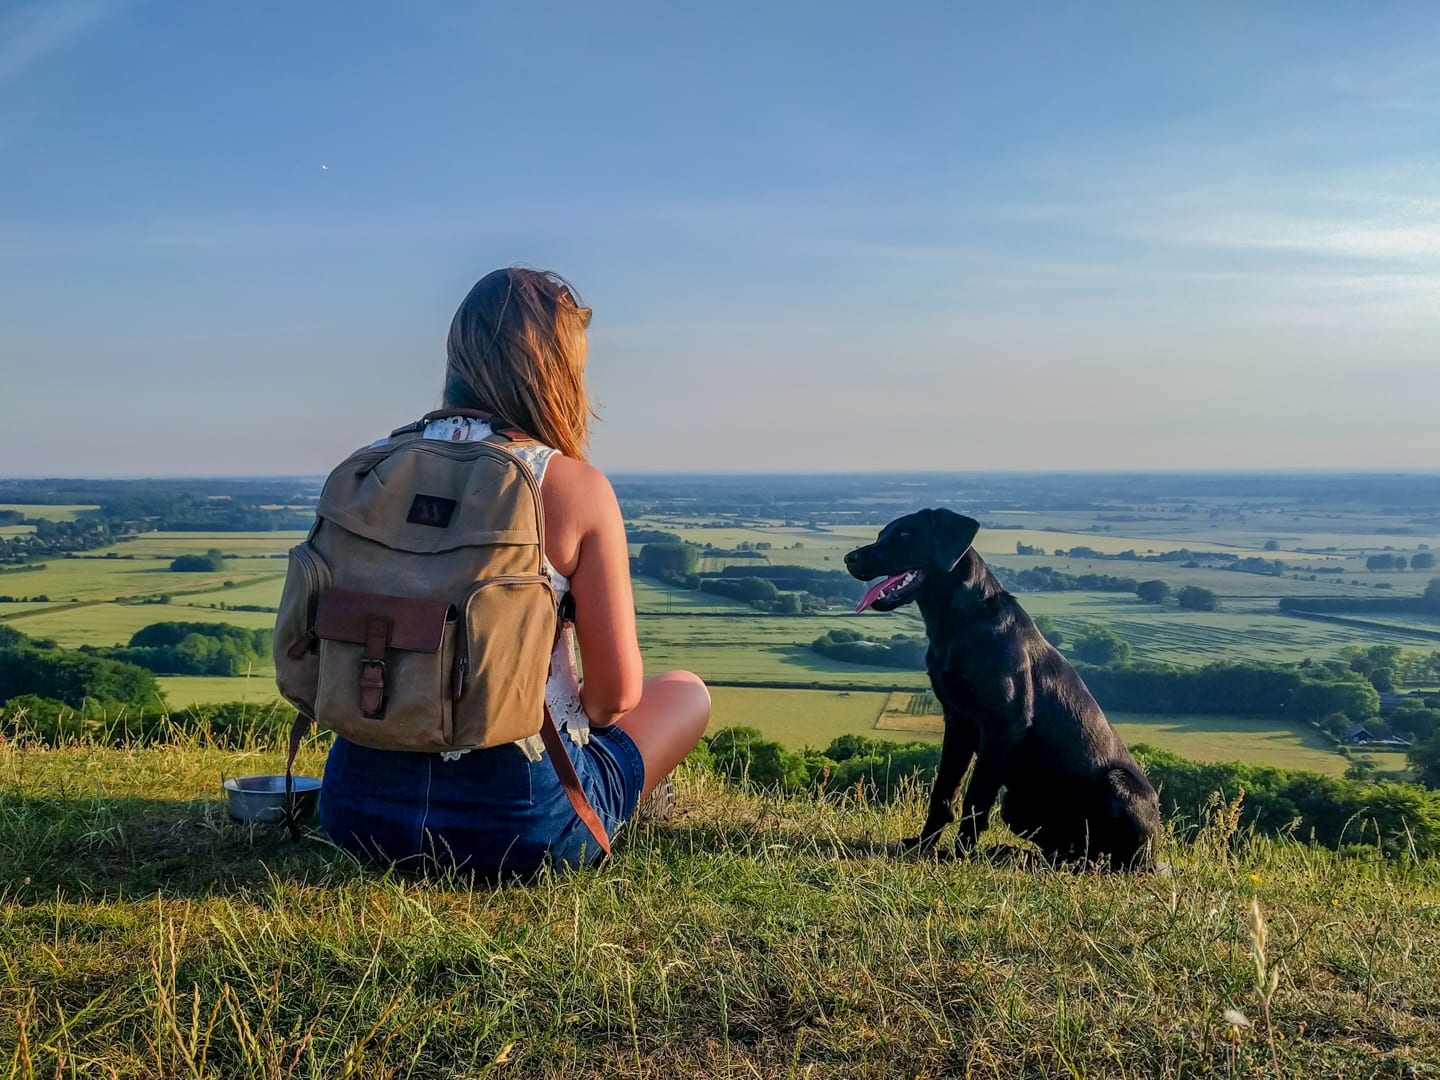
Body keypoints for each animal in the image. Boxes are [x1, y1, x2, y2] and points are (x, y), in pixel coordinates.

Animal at [840, 509, 1157, 869]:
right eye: (881, 534)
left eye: (905, 534)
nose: (850, 558)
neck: (961, 621)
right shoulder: (958, 724)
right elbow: (944, 792)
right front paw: (923, 845)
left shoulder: (1002, 729)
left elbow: (975, 801)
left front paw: (959, 856)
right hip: (1018, 805)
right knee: (1060, 851)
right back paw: (1010, 854)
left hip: (1117, 784)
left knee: (1104, 860)